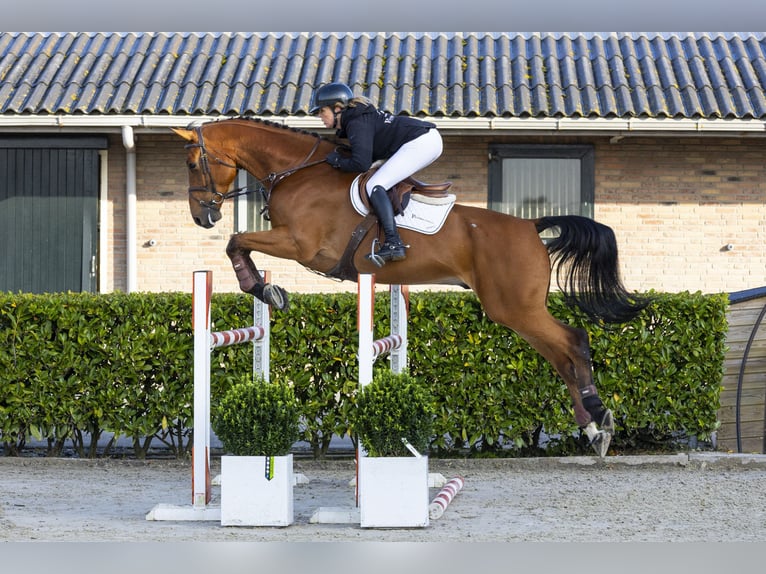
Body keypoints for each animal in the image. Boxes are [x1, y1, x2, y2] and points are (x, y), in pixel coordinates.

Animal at [174, 117, 648, 460]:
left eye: (193, 164)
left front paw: (263, 289)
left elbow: (238, 241)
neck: (297, 172)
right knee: (560, 356)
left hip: (515, 308)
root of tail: (531, 226)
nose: (201, 217)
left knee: (574, 341)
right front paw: (264, 289)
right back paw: (591, 427)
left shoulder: (300, 246)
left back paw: (600, 418)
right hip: (517, 311)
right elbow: (239, 243)